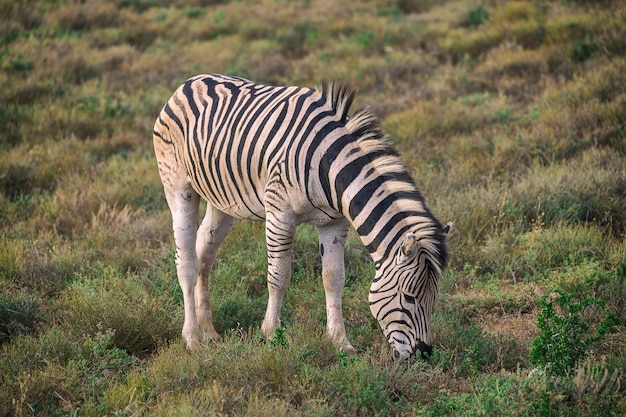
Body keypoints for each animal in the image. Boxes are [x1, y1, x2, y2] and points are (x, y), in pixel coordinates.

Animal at [153, 74, 448, 358]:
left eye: (434, 297)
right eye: (409, 297)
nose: (425, 353)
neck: (330, 166)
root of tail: (190, 82)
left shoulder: (335, 223)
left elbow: (334, 279)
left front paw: (340, 342)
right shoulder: (279, 214)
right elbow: (279, 277)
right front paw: (271, 333)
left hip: (222, 201)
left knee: (204, 253)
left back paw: (209, 330)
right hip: (179, 188)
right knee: (186, 261)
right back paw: (193, 339)